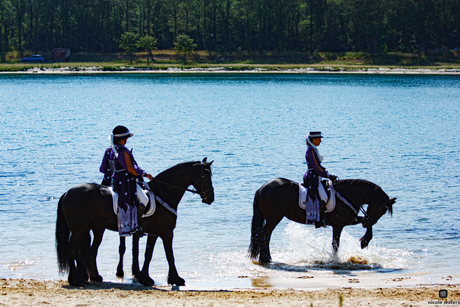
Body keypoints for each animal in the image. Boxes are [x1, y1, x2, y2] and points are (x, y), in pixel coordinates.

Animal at [56, 160, 215, 288]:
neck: (162, 193)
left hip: (92, 229)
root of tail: (67, 193)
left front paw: (145, 278)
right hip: (79, 229)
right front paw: (176, 279)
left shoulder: (154, 233)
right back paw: (75, 279)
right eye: (205, 176)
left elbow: (148, 254)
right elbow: (170, 255)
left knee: (89, 250)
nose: (210, 198)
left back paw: (93, 276)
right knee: (73, 249)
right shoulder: (167, 232)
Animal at [248, 179, 396, 264]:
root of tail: (262, 188)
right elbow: (335, 244)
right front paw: (335, 259)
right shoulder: (339, 224)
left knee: (264, 235)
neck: (347, 194)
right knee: (265, 235)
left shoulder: (348, 220)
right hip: (274, 218)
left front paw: (364, 240)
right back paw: (266, 259)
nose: (367, 222)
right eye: (383, 210)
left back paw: (266, 258)